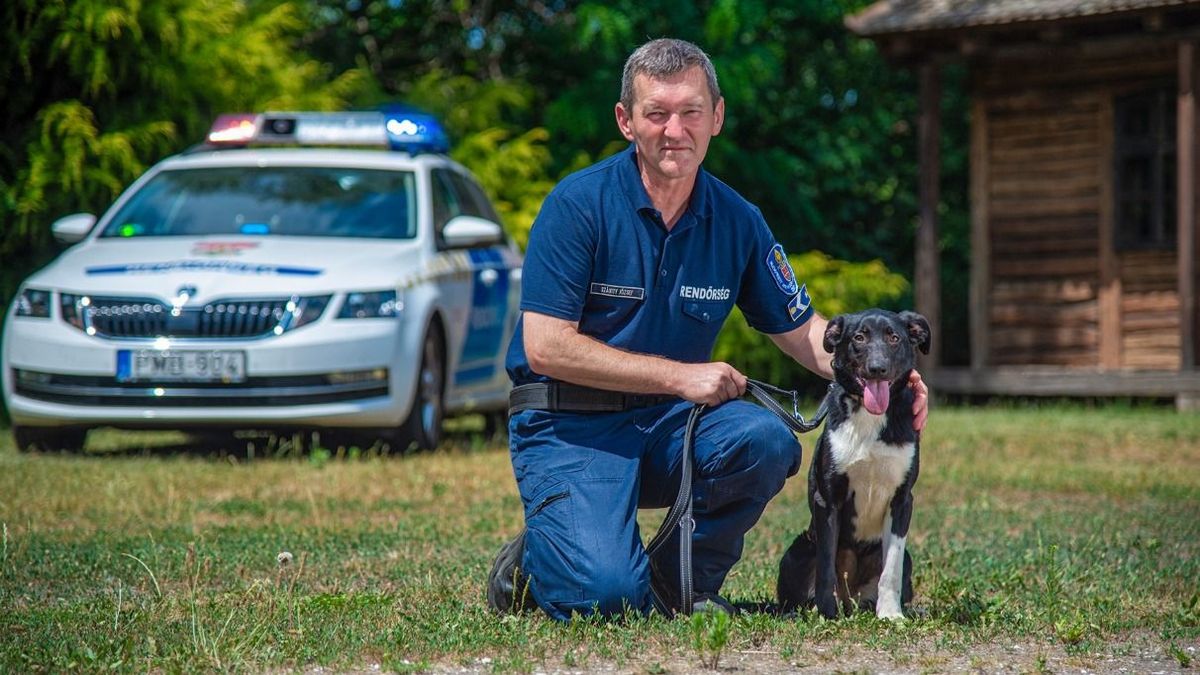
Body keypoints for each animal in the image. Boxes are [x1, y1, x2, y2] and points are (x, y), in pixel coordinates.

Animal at [772, 307, 931, 619]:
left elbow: (891, 569)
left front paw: (891, 614)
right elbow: (826, 566)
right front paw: (826, 613)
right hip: (797, 553)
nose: (877, 368)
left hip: (904, 560)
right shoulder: (828, 499)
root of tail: (851, 600)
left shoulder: (902, 500)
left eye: (894, 337)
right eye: (859, 337)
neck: (870, 417)